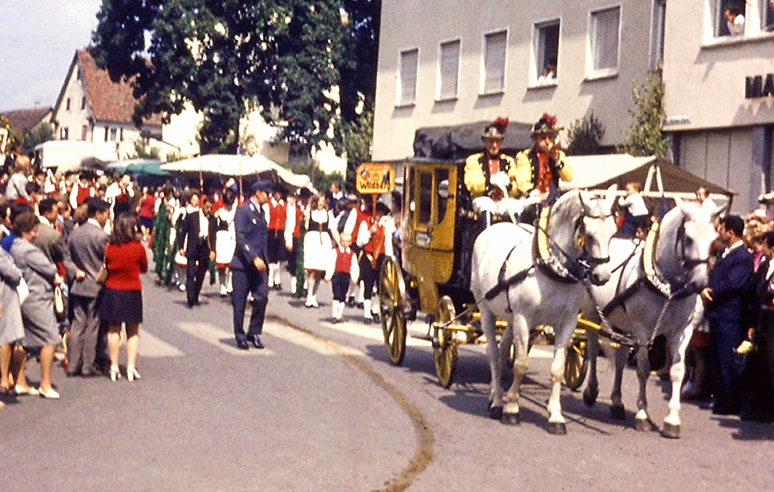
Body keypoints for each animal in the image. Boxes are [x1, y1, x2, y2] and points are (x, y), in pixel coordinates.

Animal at [472, 186, 620, 432]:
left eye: (613, 232)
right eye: (588, 234)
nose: (603, 276)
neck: (551, 268)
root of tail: (493, 228)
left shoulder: (567, 323)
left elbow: (557, 369)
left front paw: (556, 416)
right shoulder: (524, 319)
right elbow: (521, 365)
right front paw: (512, 409)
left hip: (509, 316)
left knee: (502, 351)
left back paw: (496, 396)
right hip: (485, 310)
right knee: (492, 353)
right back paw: (497, 403)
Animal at [584, 200, 720, 438]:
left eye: (713, 240)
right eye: (688, 238)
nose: (700, 283)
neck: (668, 286)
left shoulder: (682, 331)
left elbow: (677, 371)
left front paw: (672, 419)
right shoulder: (643, 330)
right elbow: (643, 369)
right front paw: (642, 415)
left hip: (623, 324)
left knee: (620, 359)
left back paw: (617, 403)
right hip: (593, 315)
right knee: (592, 351)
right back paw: (591, 391)